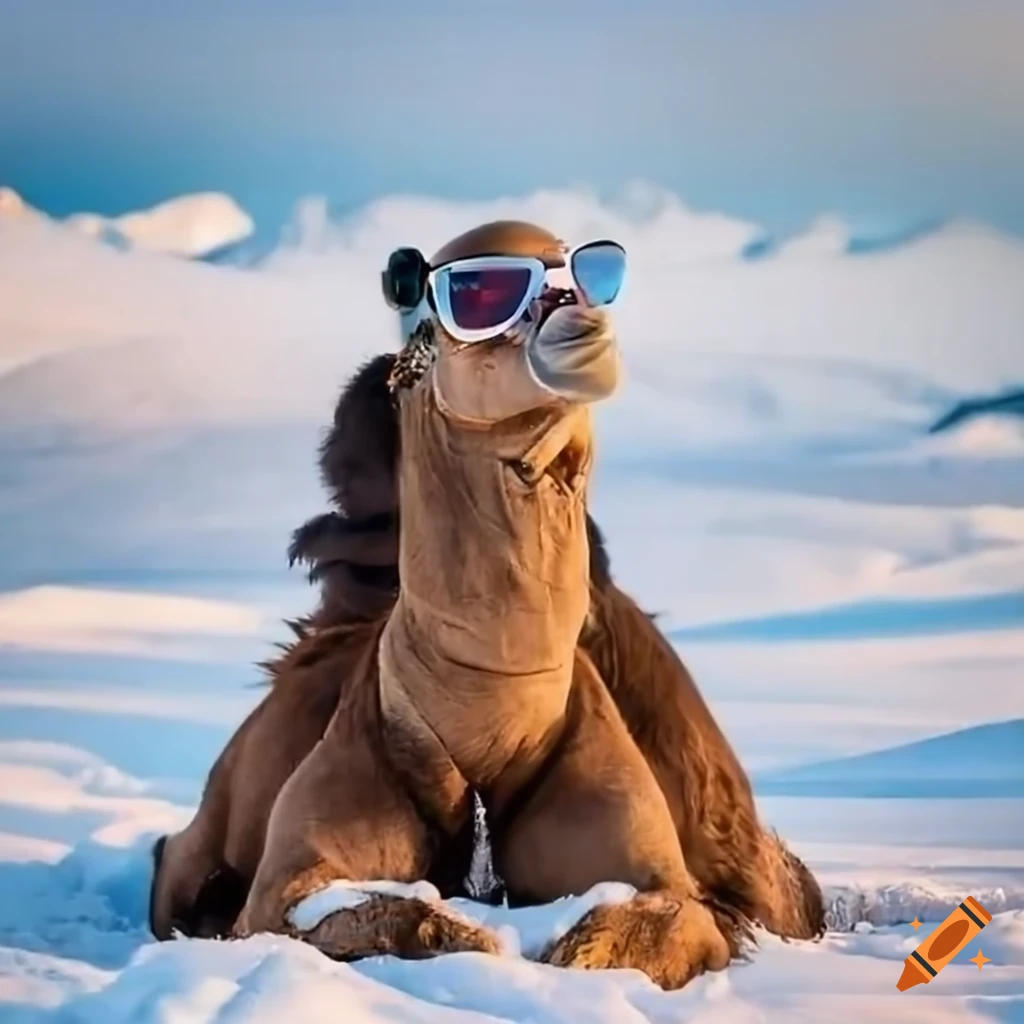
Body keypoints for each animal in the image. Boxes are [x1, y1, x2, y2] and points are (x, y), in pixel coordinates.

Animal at [150, 221, 824, 990]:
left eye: (589, 273)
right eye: (482, 293)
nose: (575, 317)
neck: (492, 713)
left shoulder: (664, 879)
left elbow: (639, 926)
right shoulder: (285, 884)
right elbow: (398, 917)